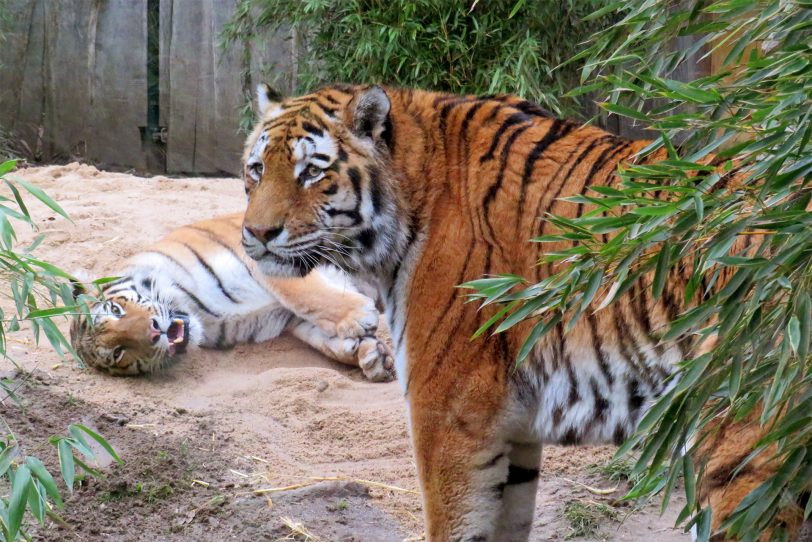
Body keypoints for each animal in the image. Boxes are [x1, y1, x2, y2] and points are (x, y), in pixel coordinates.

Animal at [71, 212, 394, 382]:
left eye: (116, 309)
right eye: (118, 353)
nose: (153, 333)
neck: (200, 311)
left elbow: (302, 292)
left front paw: (360, 316)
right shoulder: (286, 320)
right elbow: (319, 334)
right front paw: (370, 355)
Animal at [238, 83, 808, 540]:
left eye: (312, 173)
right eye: (257, 170)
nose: (257, 234)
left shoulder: (449, 409)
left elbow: (454, 523)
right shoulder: (515, 426)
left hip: (738, 440)